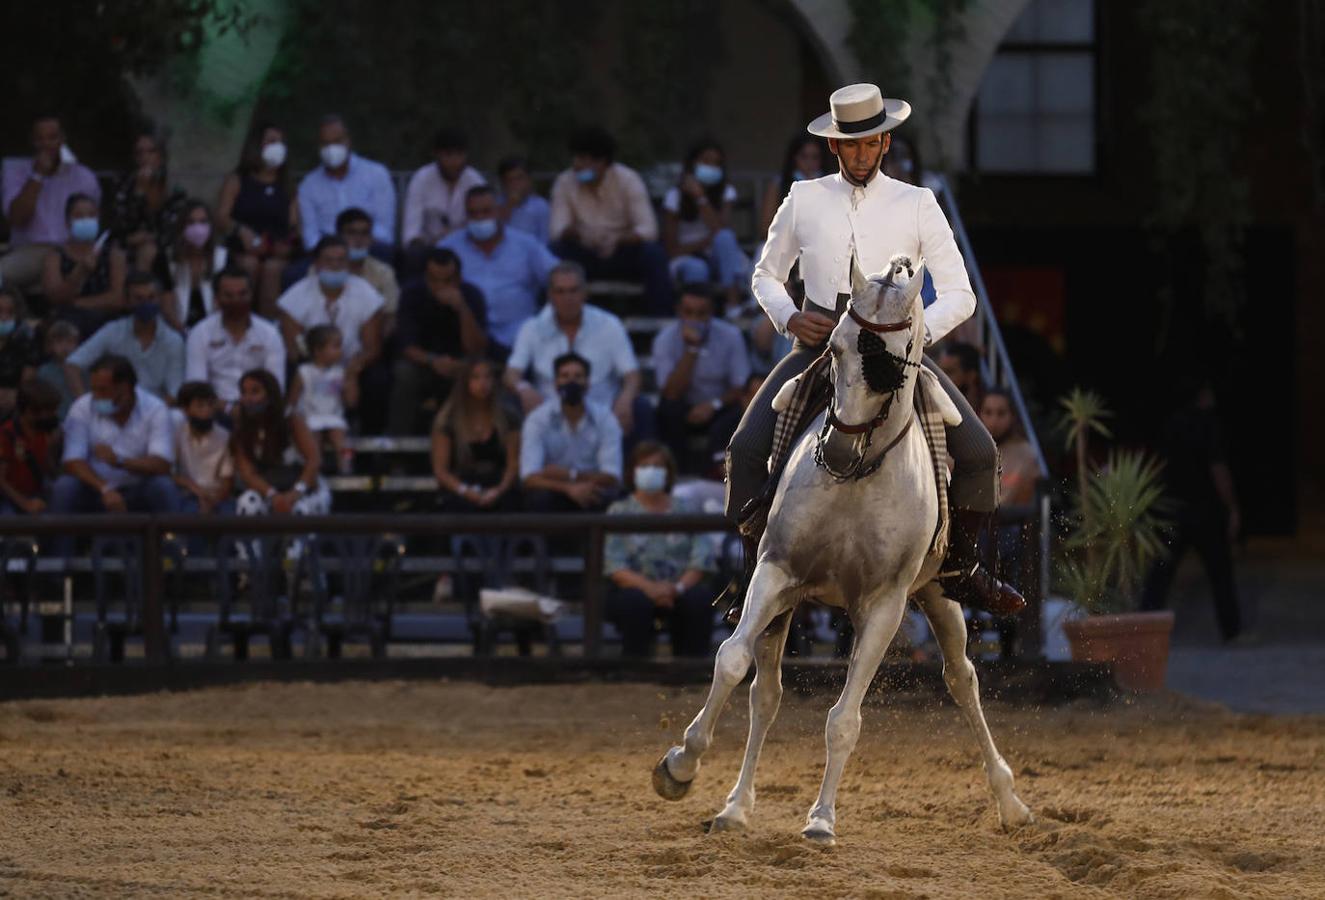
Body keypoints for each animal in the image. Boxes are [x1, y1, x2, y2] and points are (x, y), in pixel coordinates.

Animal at [651, 253, 1033, 843]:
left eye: (895, 362)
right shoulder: (775, 571)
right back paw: (735, 806)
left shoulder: (884, 606)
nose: (836, 447)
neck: (858, 472)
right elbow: (731, 660)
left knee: (962, 680)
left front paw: (822, 819)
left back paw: (1010, 802)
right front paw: (679, 767)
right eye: (834, 347)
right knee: (766, 696)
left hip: (937, 593)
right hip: (785, 604)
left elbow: (844, 719)